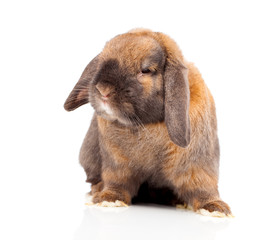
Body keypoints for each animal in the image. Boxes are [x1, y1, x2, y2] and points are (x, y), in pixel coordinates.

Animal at [64, 29, 231, 217]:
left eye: (146, 70)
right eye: (102, 62)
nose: (103, 90)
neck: (146, 124)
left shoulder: (197, 165)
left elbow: (203, 187)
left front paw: (215, 208)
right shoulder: (117, 165)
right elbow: (117, 182)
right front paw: (109, 199)